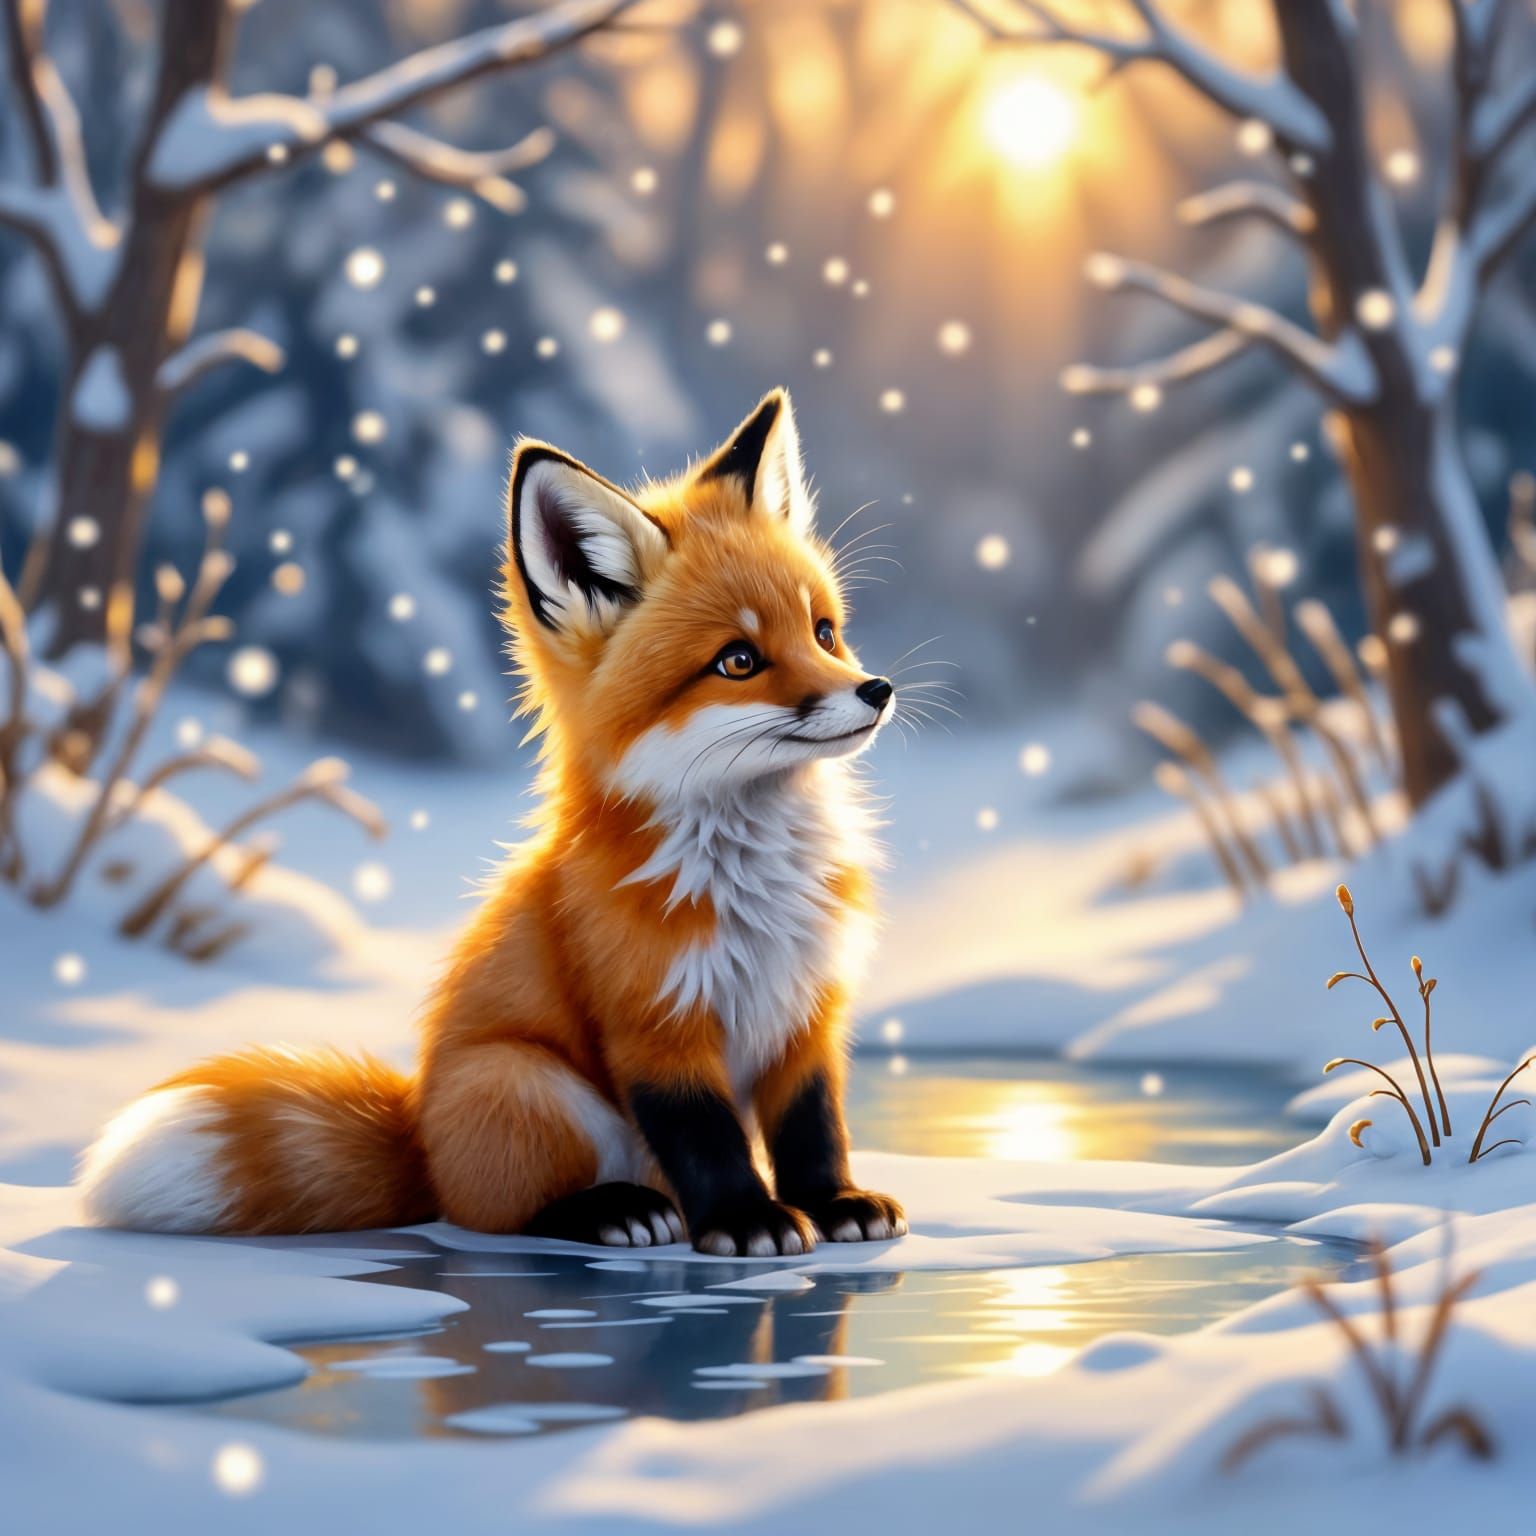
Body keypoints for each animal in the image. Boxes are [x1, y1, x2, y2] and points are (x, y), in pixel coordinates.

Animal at [77, 389, 907, 1258]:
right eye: (739, 661)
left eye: (823, 631)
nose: (876, 691)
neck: (754, 888)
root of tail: (419, 1134)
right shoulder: (655, 1026)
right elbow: (706, 1139)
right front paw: (747, 1220)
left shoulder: (807, 1011)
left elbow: (813, 1127)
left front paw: (832, 1202)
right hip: (526, 1082)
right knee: (499, 1210)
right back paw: (609, 1212)